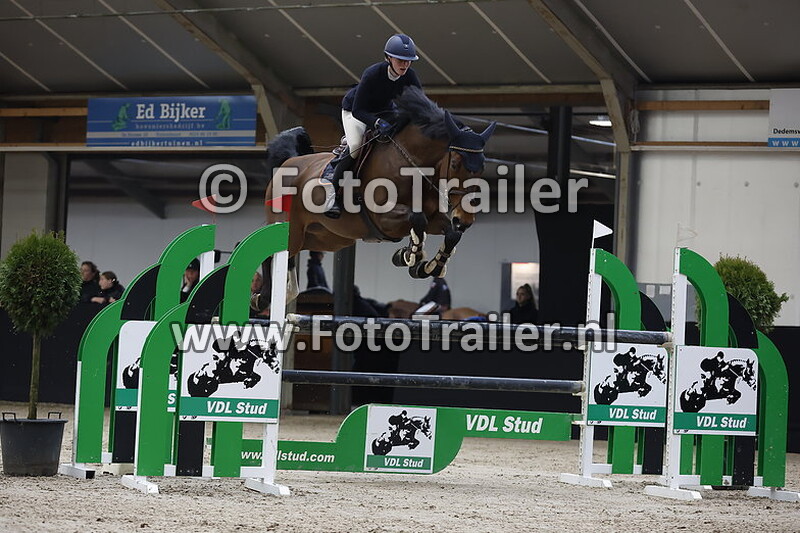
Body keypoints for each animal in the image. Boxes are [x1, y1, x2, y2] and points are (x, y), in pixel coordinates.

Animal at [253, 87, 495, 311]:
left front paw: (428, 266)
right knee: (268, 251)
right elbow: (417, 219)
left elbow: (450, 234)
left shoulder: (434, 217)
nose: (465, 220)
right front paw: (410, 255)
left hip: (325, 237)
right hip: (291, 230)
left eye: (483, 166)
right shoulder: (383, 217)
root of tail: (289, 162)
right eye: (454, 164)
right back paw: (262, 297)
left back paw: (283, 292)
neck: (413, 164)